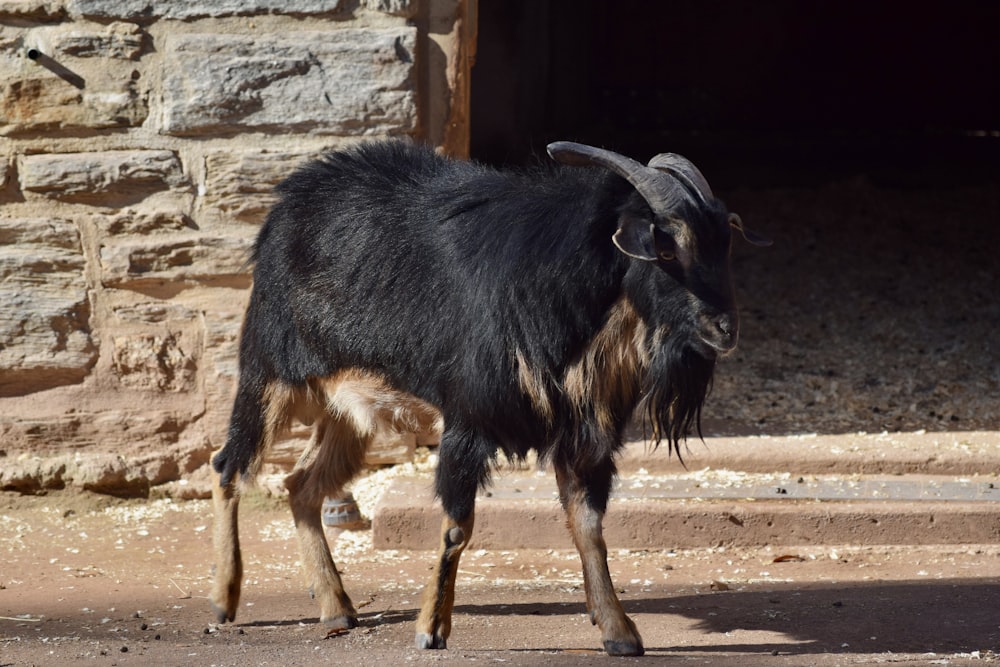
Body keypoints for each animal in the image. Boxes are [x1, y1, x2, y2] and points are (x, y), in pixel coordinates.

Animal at [207, 137, 768, 656]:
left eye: (723, 244)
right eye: (668, 248)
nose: (725, 329)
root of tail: (288, 203)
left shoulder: (583, 437)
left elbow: (590, 528)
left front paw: (619, 631)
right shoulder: (467, 423)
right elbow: (458, 527)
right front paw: (431, 629)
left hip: (348, 411)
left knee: (301, 484)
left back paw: (336, 607)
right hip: (271, 374)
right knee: (229, 465)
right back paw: (224, 599)